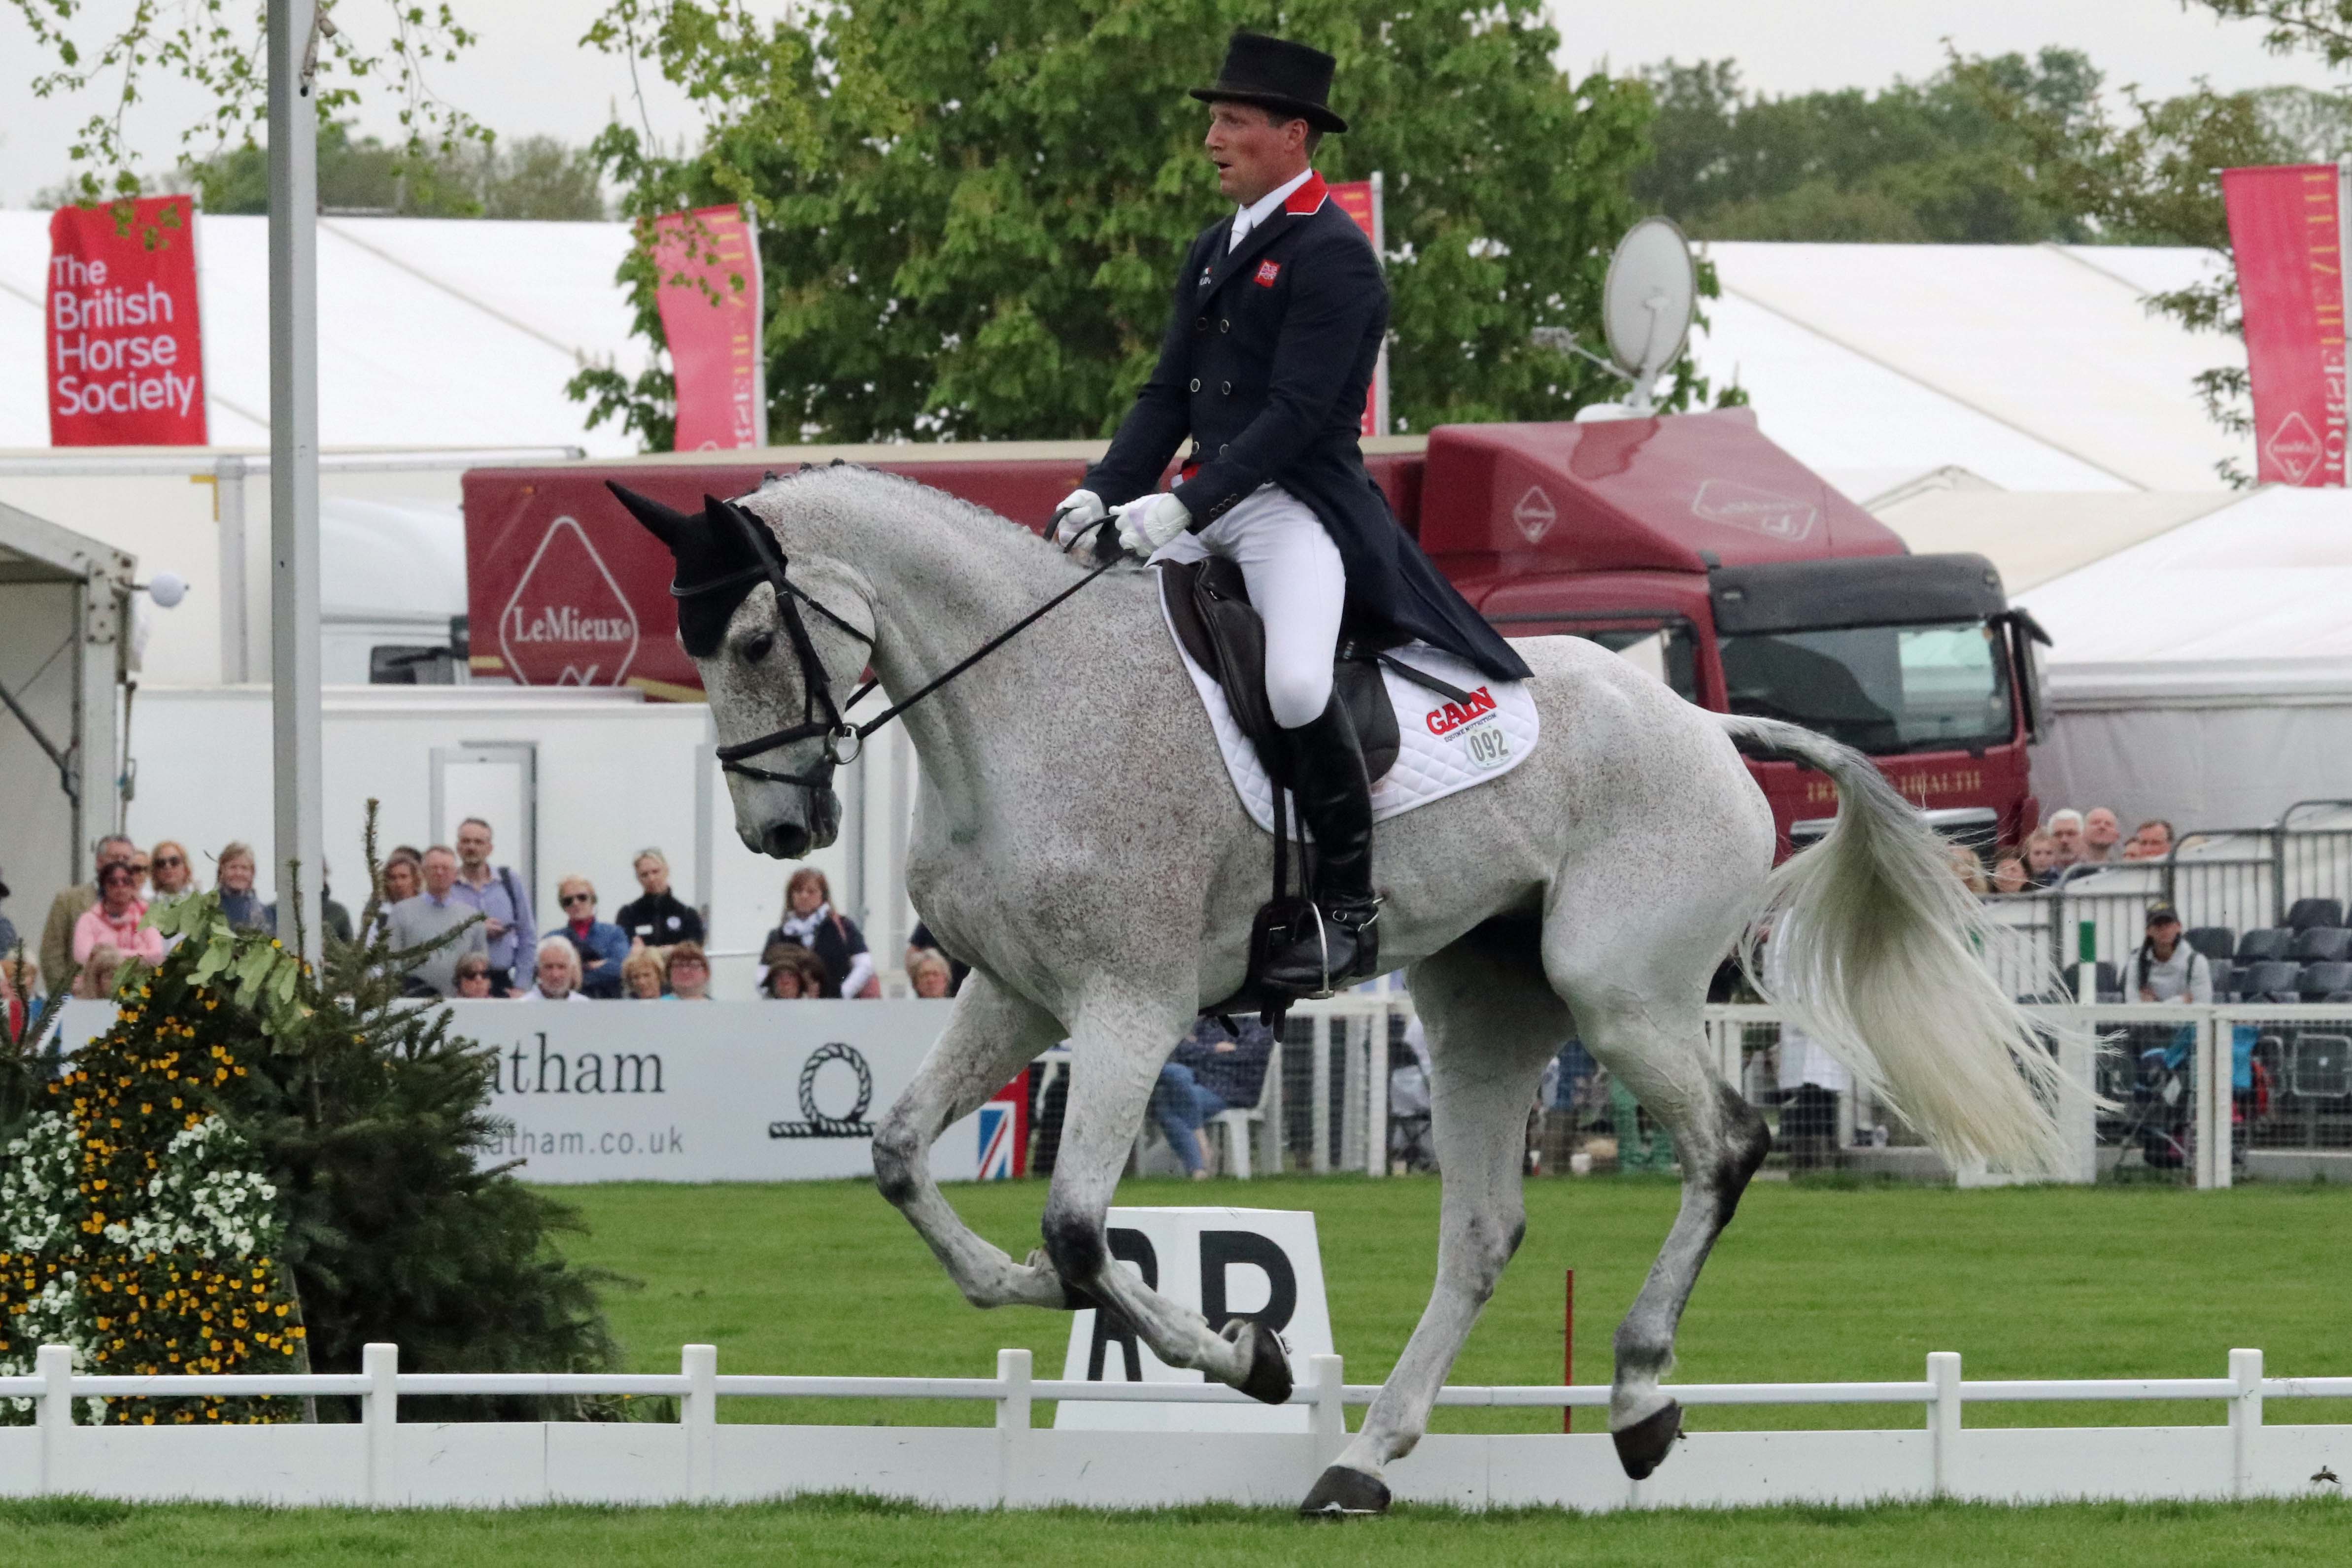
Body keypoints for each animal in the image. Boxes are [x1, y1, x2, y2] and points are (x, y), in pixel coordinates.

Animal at [611, 470, 2079, 1523]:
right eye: (697, 646)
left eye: (756, 633)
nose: (778, 828)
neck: (1025, 709)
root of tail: (1703, 724)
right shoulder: (1016, 999)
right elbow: (904, 1159)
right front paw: (1028, 1289)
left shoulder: (1131, 1004)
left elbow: (1082, 1226)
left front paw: (1244, 1352)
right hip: (1483, 1005)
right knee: (1482, 1226)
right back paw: (1365, 1455)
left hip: (1617, 993)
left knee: (1724, 1141)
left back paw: (1633, 1395)